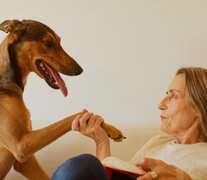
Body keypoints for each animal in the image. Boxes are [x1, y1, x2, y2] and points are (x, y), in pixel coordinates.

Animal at [0, 19, 123, 179]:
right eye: (47, 42)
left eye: (59, 41)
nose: (79, 70)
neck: (7, 82)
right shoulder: (21, 145)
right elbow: (74, 116)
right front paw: (108, 127)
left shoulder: (25, 161)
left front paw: (110, 129)